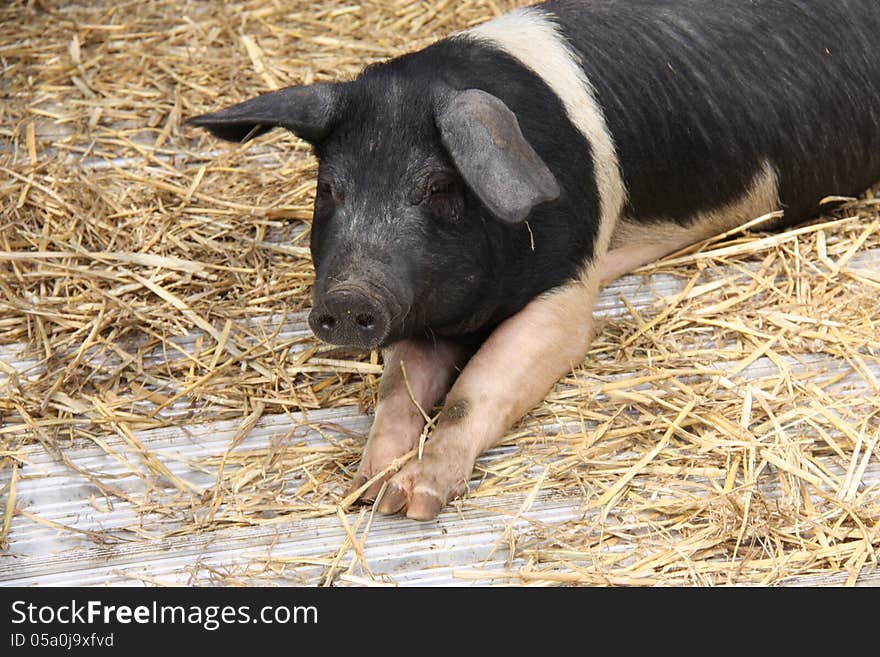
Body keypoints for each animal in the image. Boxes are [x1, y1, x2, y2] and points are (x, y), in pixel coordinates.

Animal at [189, 2, 880, 520]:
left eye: (439, 187)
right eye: (329, 188)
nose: (349, 299)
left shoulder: (566, 292)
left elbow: (476, 390)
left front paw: (416, 499)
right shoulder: (419, 310)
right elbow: (400, 391)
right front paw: (373, 489)